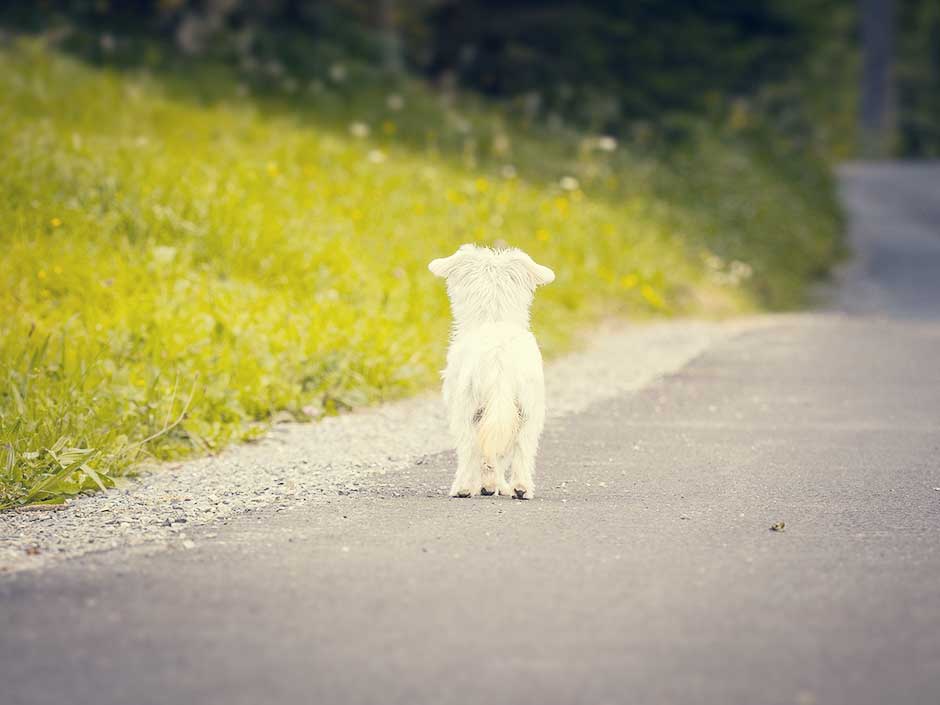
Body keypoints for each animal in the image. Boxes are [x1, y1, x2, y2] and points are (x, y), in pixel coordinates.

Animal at [430, 245, 556, 498]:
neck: (494, 317)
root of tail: (499, 363)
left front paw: (488, 485)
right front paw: (494, 485)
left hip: (466, 408)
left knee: (469, 449)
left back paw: (463, 488)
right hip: (529, 412)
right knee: (521, 450)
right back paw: (520, 488)